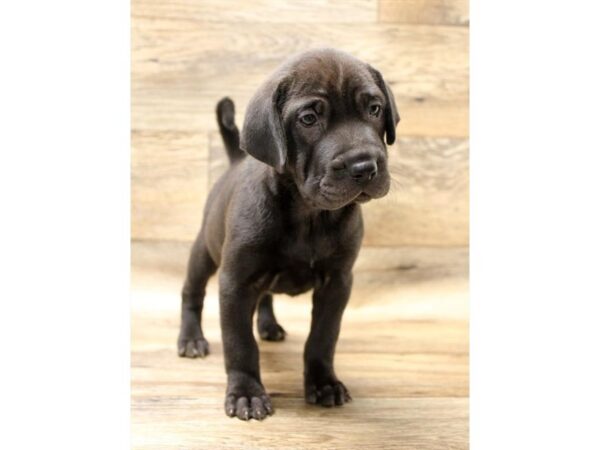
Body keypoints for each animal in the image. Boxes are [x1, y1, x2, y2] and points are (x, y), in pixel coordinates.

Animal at [179, 47, 404, 420]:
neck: (309, 213)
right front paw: (246, 393)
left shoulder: (337, 282)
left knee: (266, 297)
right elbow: (239, 343)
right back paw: (191, 339)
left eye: (374, 109)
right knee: (192, 293)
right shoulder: (236, 281)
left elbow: (323, 338)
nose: (364, 166)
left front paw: (324, 383)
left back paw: (268, 326)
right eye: (309, 119)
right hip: (204, 251)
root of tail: (234, 160)